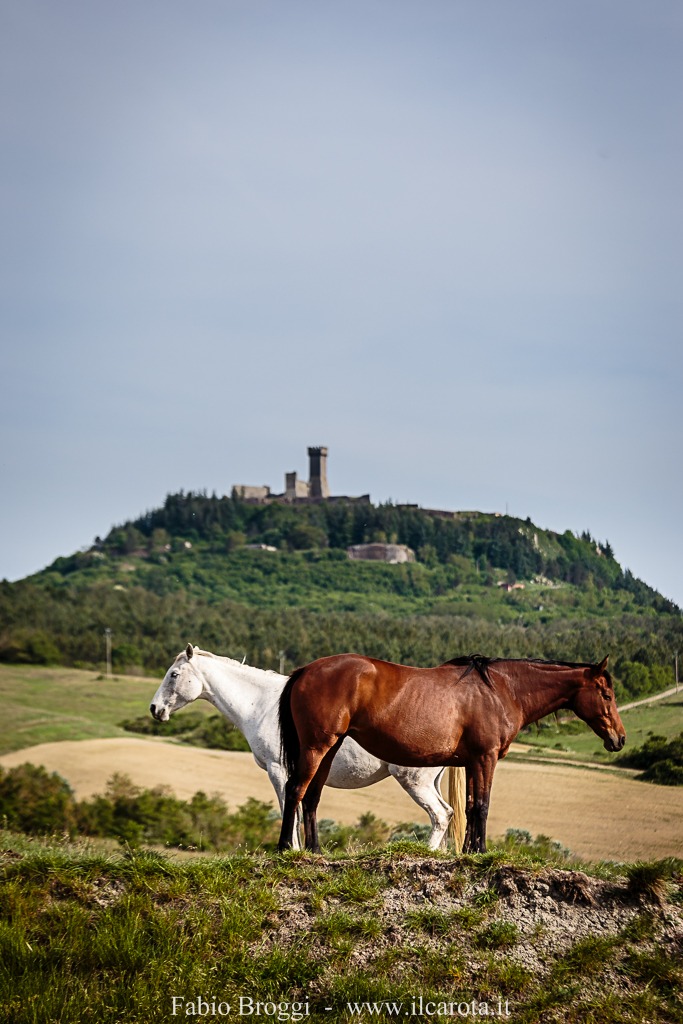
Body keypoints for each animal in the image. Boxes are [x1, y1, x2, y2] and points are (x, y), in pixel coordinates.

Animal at [149, 644, 458, 849]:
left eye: (174, 674)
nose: (155, 709)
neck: (262, 704)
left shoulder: (279, 771)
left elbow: (291, 808)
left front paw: (291, 849)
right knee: (445, 814)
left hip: (413, 781)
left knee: (440, 815)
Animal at [277, 653, 626, 854]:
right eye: (607, 695)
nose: (619, 738)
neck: (501, 690)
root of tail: (305, 670)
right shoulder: (485, 758)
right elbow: (482, 806)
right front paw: (481, 852)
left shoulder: (472, 761)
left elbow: (470, 807)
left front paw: (469, 852)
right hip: (316, 746)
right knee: (295, 789)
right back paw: (284, 848)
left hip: (329, 748)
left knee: (311, 796)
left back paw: (315, 851)